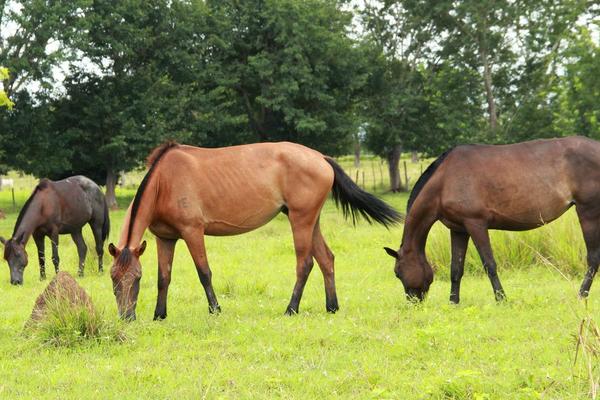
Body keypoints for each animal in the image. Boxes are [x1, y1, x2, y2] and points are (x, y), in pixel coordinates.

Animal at [109, 142, 404, 320]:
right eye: (113, 279)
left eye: (136, 279)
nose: (126, 317)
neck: (164, 181)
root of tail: (320, 157)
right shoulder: (165, 238)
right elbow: (164, 277)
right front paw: (160, 315)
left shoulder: (193, 232)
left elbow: (204, 273)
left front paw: (215, 310)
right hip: (312, 221)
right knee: (326, 259)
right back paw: (331, 307)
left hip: (301, 220)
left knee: (305, 263)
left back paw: (291, 308)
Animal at [384, 138, 600, 304]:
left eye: (397, 273)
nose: (413, 303)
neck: (444, 181)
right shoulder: (459, 230)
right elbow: (456, 268)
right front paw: (453, 302)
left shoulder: (476, 224)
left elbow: (489, 264)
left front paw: (501, 299)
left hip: (588, 212)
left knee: (593, 258)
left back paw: (581, 296)